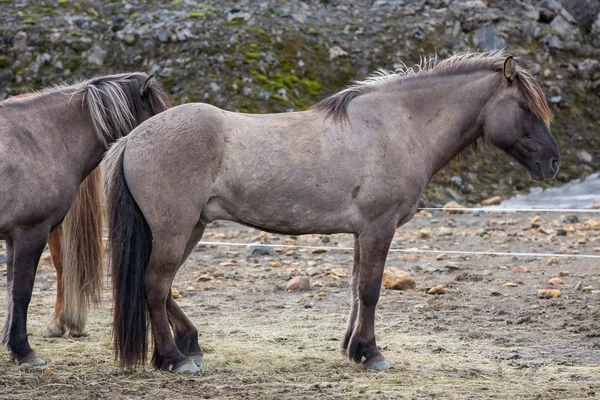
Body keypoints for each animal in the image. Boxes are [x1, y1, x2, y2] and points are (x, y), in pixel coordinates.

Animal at [0, 73, 169, 368]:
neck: (38, 138)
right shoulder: (30, 233)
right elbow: (21, 292)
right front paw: (24, 350)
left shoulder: (14, 238)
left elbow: (11, 293)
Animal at [105, 51, 560, 374]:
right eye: (525, 107)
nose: (552, 163)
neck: (399, 126)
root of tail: (132, 139)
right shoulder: (379, 228)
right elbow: (371, 290)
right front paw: (372, 354)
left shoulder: (363, 232)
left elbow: (357, 289)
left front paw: (353, 348)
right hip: (175, 229)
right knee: (155, 286)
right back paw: (174, 358)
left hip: (191, 228)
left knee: (162, 287)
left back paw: (189, 345)